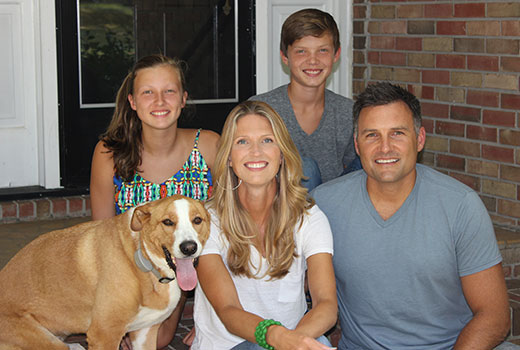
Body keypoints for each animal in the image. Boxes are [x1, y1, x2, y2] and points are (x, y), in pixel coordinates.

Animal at [1, 194, 211, 350]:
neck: (143, 260)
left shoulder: (145, 332)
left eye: (197, 220)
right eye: (167, 222)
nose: (189, 248)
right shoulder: (104, 334)